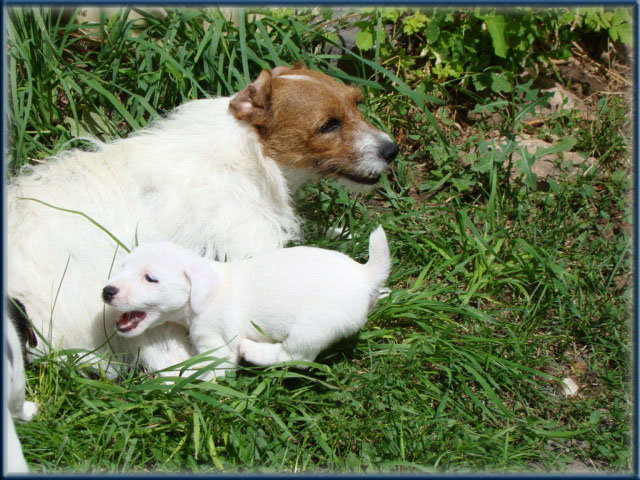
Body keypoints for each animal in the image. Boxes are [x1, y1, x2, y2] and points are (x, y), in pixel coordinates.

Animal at [104, 226, 390, 378]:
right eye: (123, 267)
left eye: (150, 278)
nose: (107, 291)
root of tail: (364, 275)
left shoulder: (215, 345)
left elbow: (211, 369)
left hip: (310, 329)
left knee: (294, 356)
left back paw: (254, 351)